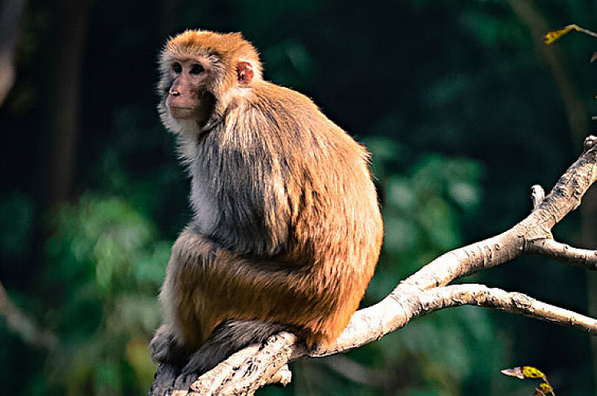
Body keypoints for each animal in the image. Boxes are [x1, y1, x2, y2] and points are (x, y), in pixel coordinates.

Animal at [149, 28, 382, 386]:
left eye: (196, 71)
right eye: (177, 68)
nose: (175, 90)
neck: (236, 100)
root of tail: (327, 326)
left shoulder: (233, 144)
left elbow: (259, 238)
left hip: (280, 294)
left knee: (193, 253)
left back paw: (183, 344)